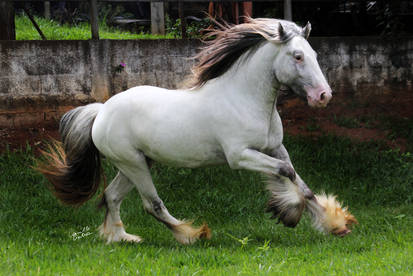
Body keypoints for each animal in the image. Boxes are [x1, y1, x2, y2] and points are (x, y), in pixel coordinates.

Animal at [37, 18, 356, 245]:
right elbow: (286, 173)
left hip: (135, 163)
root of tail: (101, 111)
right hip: (133, 164)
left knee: (112, 196)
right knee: (152, 204)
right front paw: (288, 211)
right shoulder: (240, 156)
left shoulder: (275, 148)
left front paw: (335, 225)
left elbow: (301, 183)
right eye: (298, 56)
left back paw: (121, 238)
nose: (323, 96)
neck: (244, 99)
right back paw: (192, 235)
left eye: (315, 54)